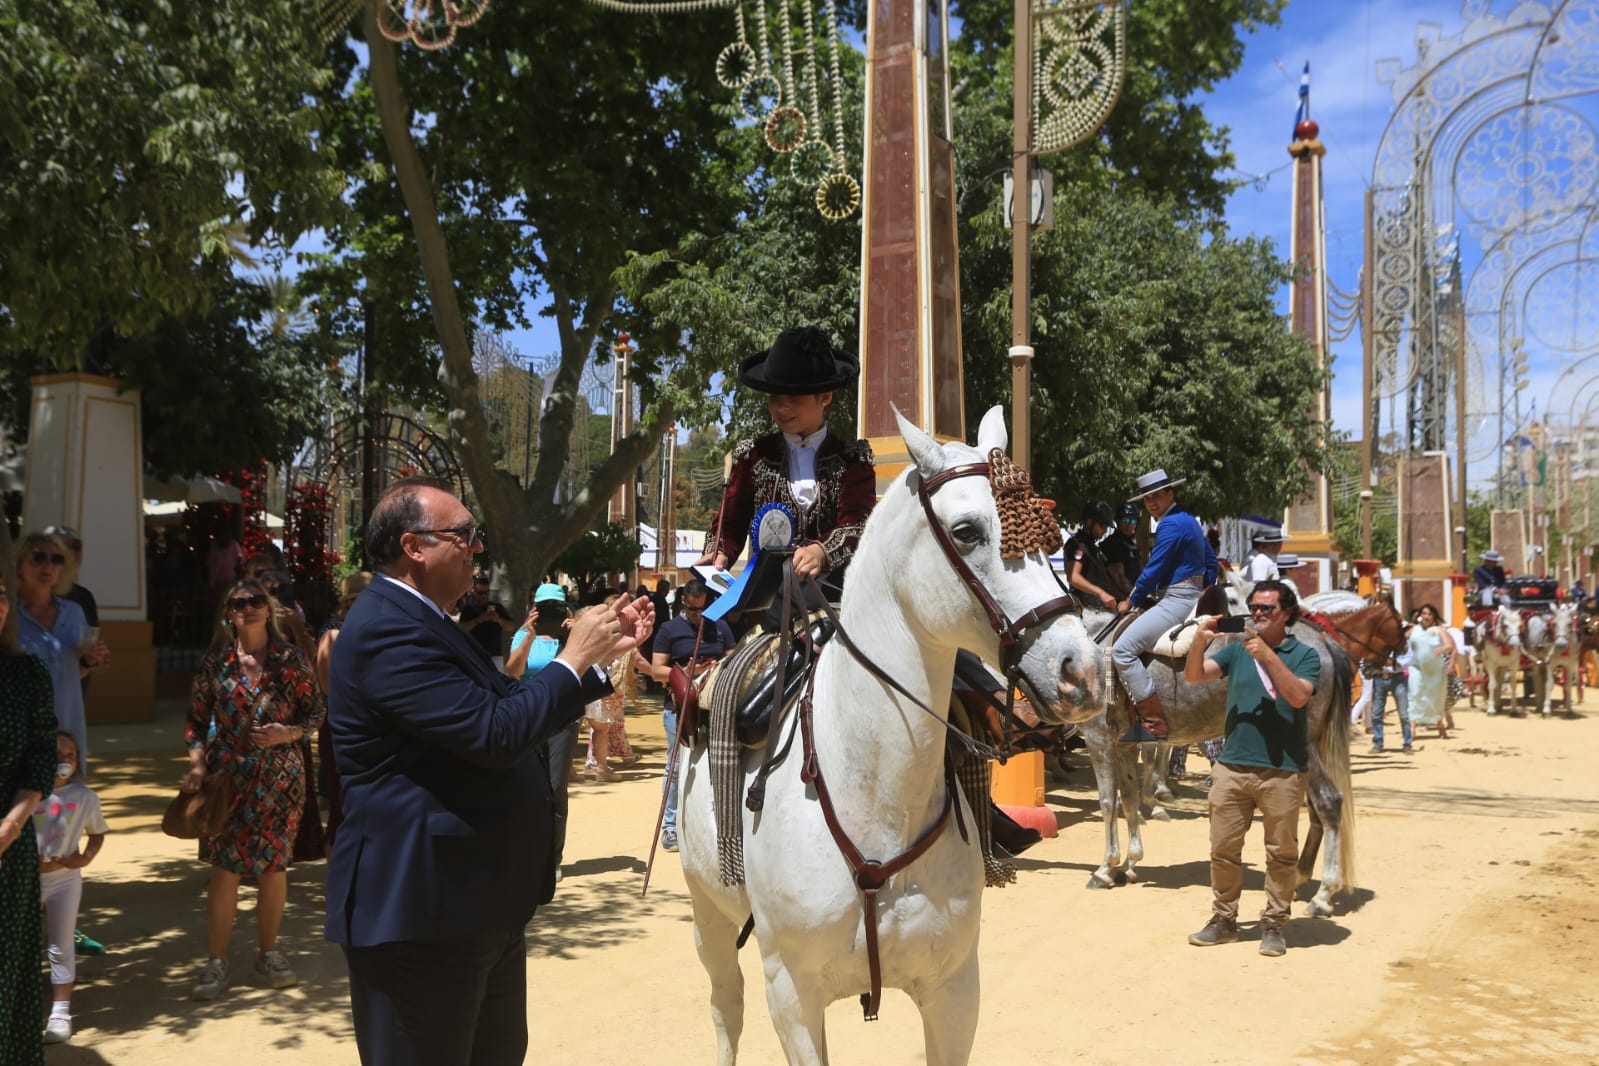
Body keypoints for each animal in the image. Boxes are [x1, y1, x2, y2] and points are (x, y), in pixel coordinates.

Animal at [677, 409, 1112, 1066]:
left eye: (1048, 530)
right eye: (966, 531)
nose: (1080, 671)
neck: (879, 801)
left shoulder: (956, 990)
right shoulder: (792, 997)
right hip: (709, 917)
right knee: (726, 1007)